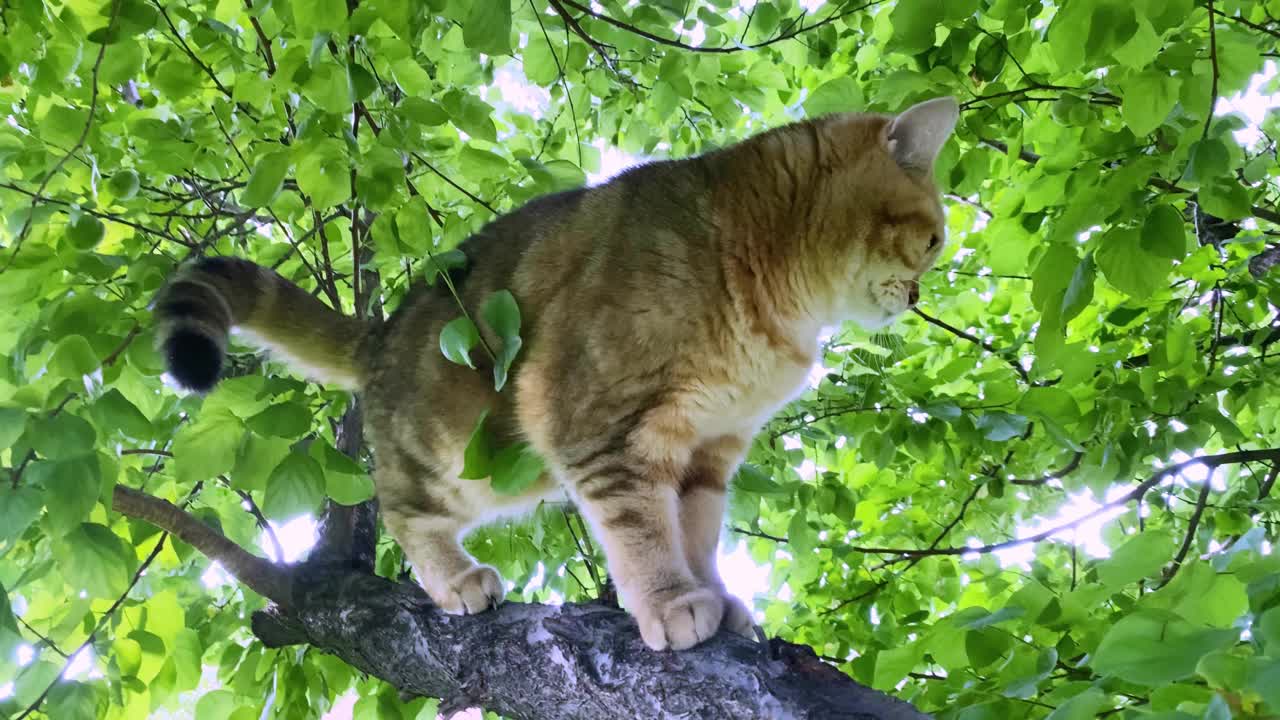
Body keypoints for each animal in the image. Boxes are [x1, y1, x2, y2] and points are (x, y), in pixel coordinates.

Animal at [152, 95, 962, 650]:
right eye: (932, 241)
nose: (919, 297)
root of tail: (386, 330)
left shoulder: (709, 447)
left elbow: (697, 535)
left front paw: (714, 595)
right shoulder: (600, 425)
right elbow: (643, 532)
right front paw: (669, 601)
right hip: (467, 452)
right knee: (399, 505)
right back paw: (456, 579)